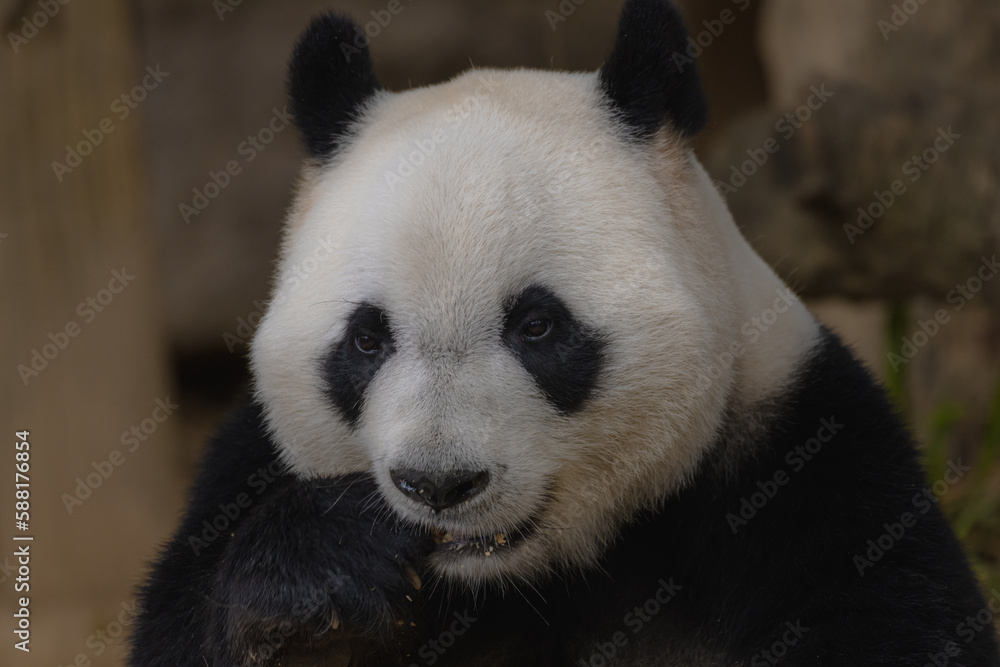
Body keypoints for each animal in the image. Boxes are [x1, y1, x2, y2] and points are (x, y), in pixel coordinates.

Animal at [130, 1, 1000, 665]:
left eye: (537, 325)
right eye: (367, 340)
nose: (438, 483)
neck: (519, 577)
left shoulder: (804, 460)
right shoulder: (244, 468)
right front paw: (321, 592)